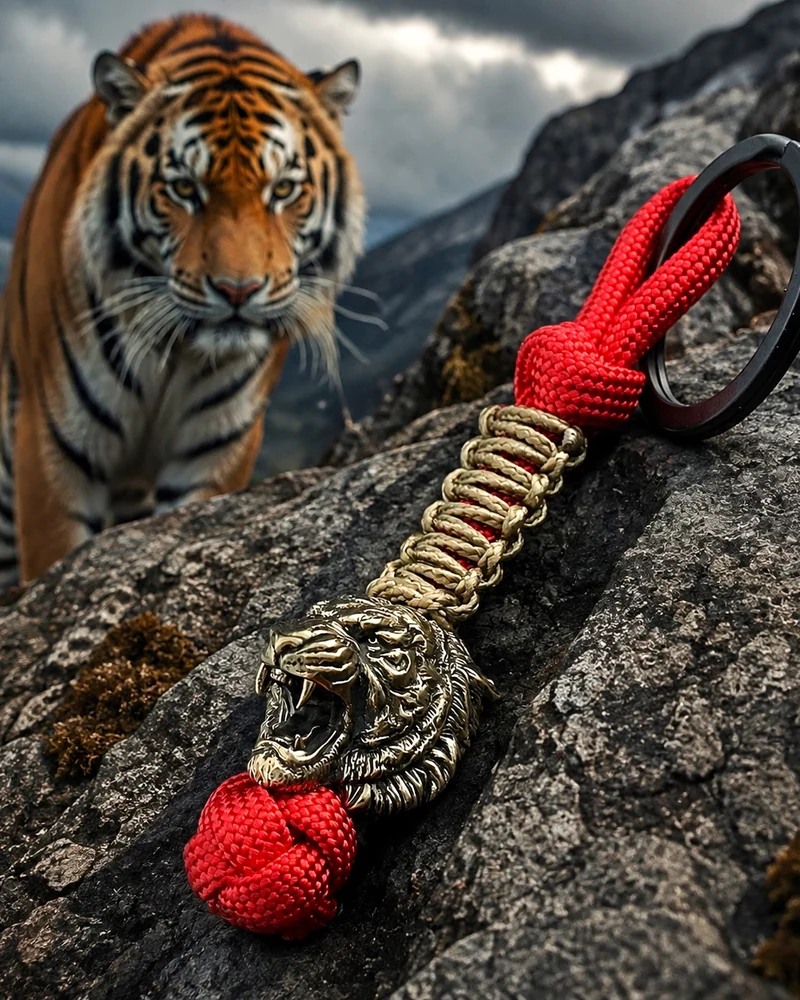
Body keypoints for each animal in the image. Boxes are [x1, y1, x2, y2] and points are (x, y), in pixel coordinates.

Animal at [0, 13, 365, 591]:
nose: (238, 290)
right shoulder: (53, 446)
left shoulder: (214, 447)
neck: (174, 354)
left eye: (283, 190)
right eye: (184, 189)